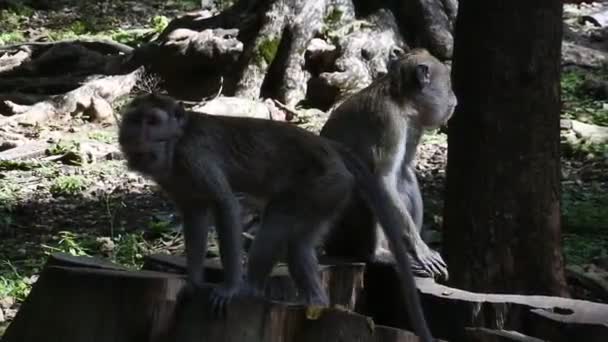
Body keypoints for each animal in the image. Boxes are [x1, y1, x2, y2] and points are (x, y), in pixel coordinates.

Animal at [116, 93, 434, 342]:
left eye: (152, 121)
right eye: (135, 120)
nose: (135, 135)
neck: (175, 144)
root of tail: (330, 148)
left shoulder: (195, 157)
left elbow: (225, 206)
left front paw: (229, 288)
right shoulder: (173, 178)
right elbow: (194, 215)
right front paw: (192, 280)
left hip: (324, 183)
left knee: (275, 226)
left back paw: (250, 290)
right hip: (331, 194)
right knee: (298, 245)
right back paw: (317, 303)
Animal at [324, 46, 456, 280]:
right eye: (448, 85)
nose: (455, 99)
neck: (403, 102)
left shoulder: (413, 125)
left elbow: (403, 171)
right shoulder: (388, 120)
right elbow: (382, 180)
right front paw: (421, 250)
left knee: (403, 177)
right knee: (366, 184)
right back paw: (377, 255)